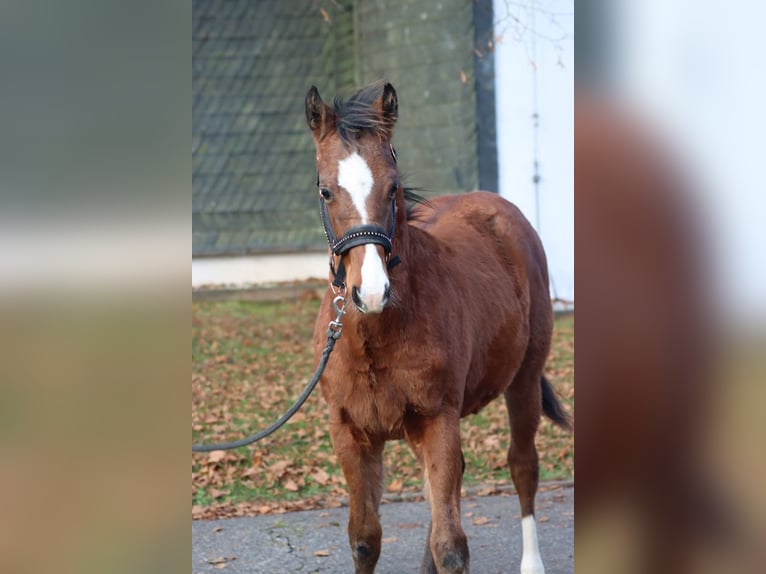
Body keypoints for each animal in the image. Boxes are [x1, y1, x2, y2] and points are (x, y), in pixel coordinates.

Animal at [305, 82, 571, 574]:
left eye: (392, 186)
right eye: (326, 191)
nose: (371, 292)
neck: (375, 336)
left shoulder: (437, 420)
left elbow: (451, 546)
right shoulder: (349, 430)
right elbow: (365, 538)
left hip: (522, 381)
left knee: (522, 466)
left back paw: (532, 561)